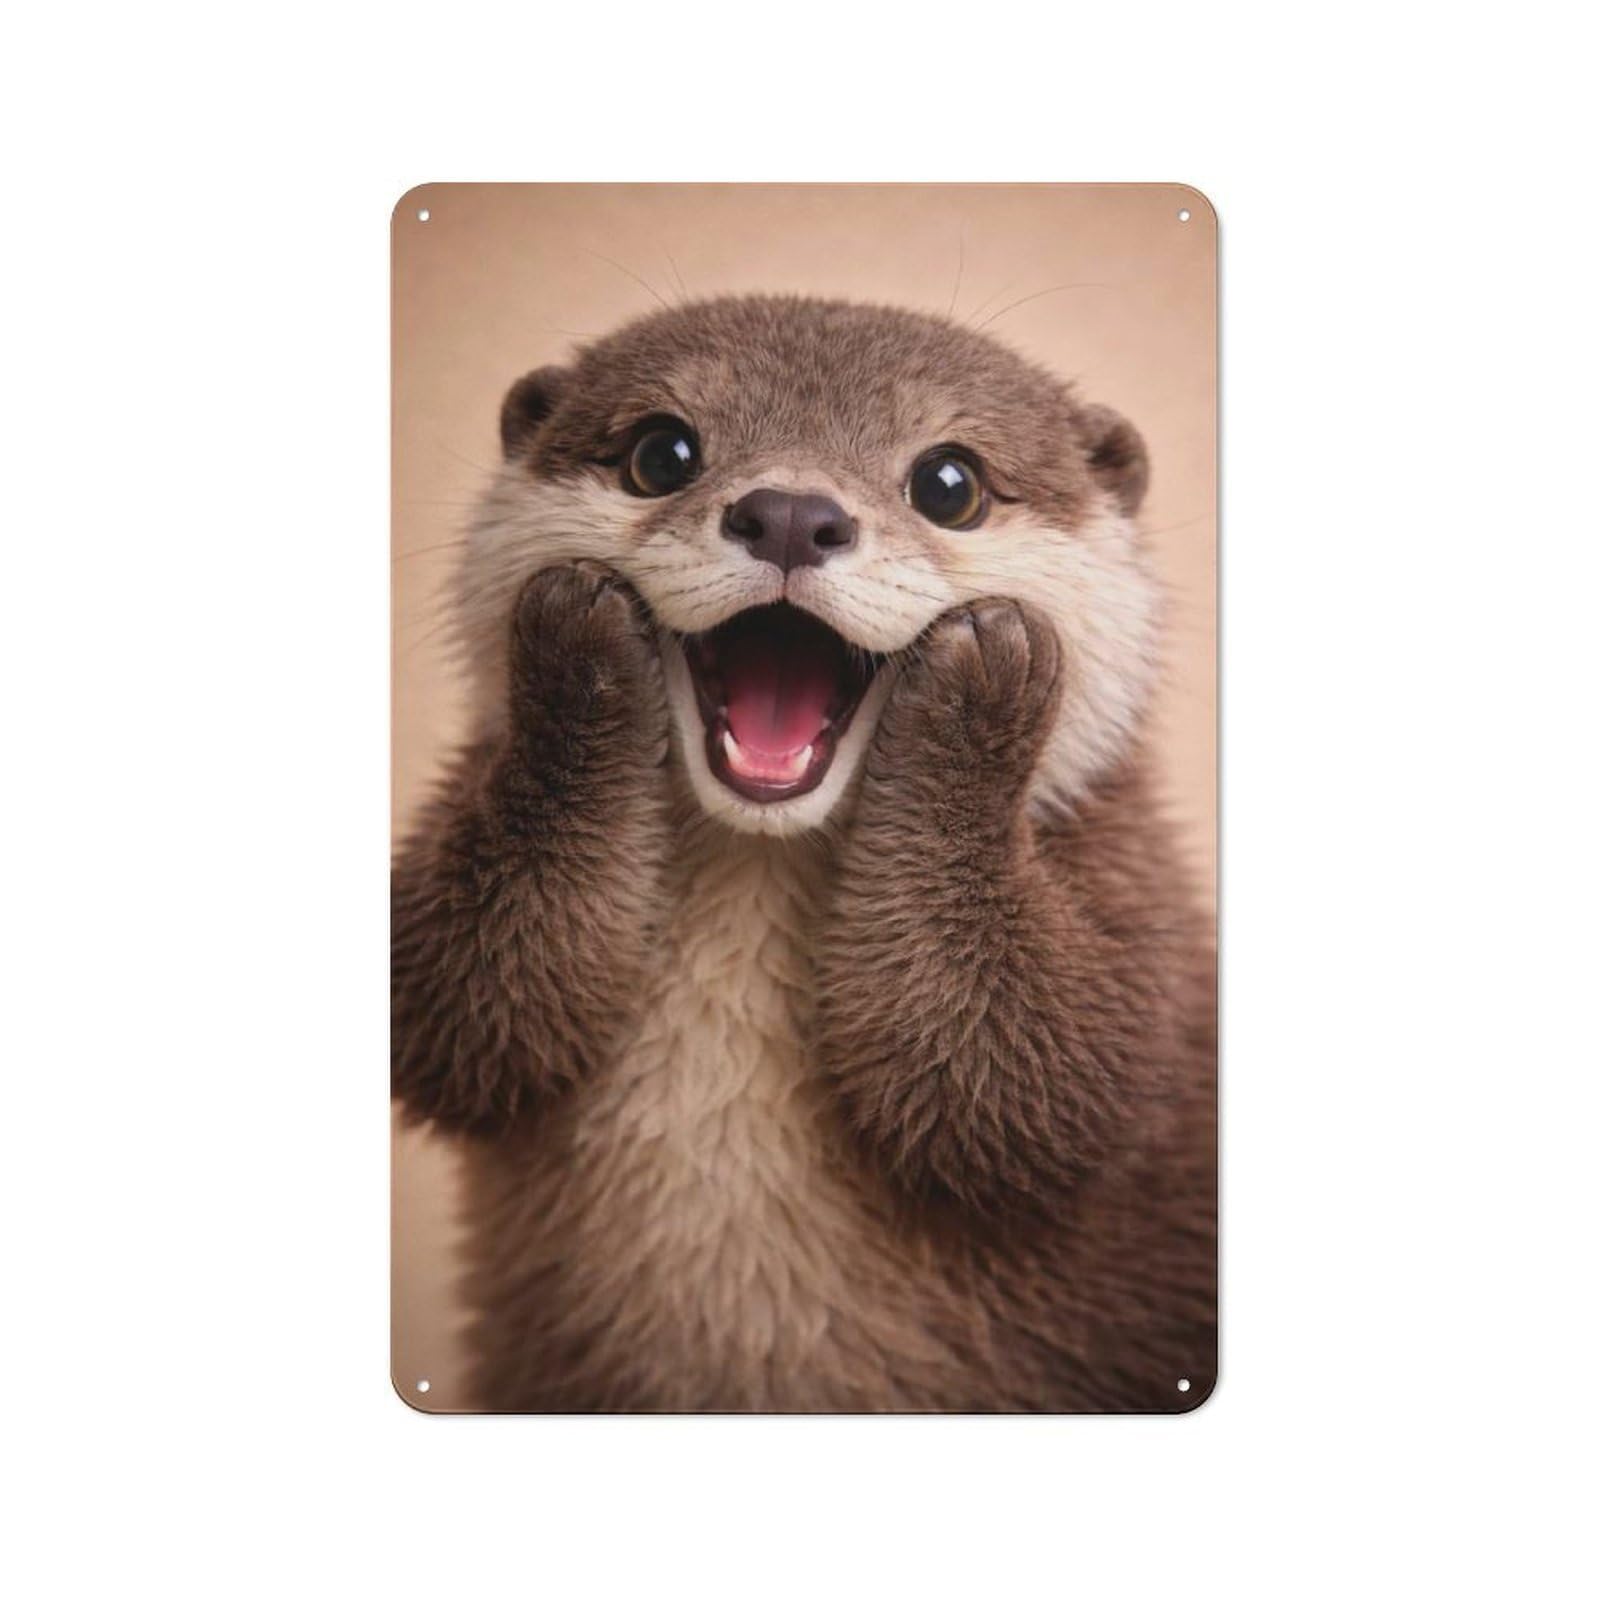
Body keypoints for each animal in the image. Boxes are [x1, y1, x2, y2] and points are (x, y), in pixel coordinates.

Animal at [392, 295, 1216, 1412]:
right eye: (661, 452)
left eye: (950, 483)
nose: (789, 513)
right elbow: (459, 1002)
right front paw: (578, 643)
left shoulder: (1142, 925)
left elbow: (1038, 1078)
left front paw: (982, 682)